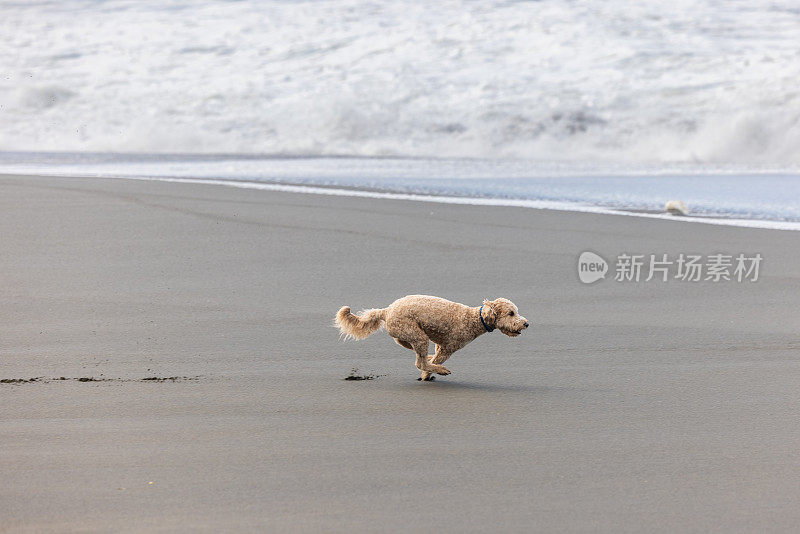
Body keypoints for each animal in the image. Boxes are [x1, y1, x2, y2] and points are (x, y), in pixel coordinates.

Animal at [334, 298, 528, 382]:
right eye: (511, 313)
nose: (526, 323)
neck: (475, 319)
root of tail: (386, 310)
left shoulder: (439, 345)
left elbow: (432, 358)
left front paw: (428, 370)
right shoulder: (448, 347)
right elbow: (434, 361)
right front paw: (428, 374)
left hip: (406, 336)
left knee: (418, 356)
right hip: (417, 335)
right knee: (419, 362)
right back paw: (440, 370)